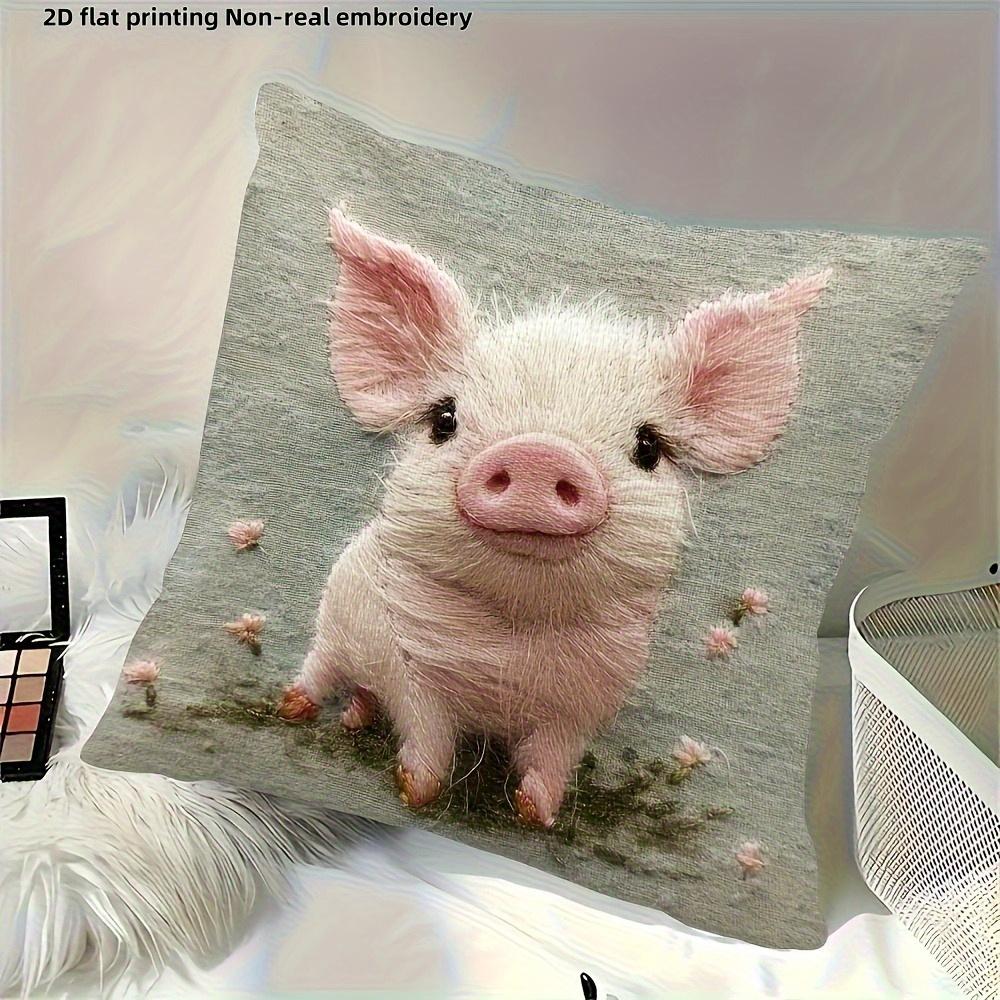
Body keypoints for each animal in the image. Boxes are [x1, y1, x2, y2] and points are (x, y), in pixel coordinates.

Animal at [278, 208, 829, 828]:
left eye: (648, 446)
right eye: (443, 419)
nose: (539, 454)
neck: (512, 644)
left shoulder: (585, 706)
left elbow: (552, 757)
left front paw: (536, 815)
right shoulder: (412, 670)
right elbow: (427, 734)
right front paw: (417, 796)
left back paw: (352, 720)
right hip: (334, 619)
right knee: (323, 665)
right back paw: (292, 709)